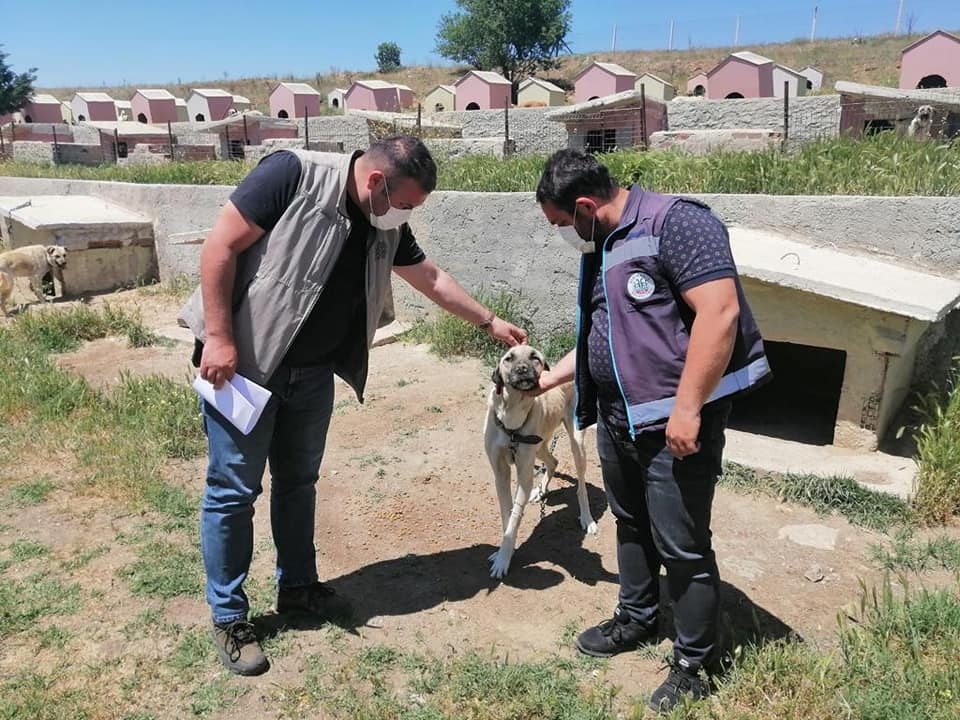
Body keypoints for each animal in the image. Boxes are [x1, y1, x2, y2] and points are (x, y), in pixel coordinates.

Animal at [484, 344, 596, 580]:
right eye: (509, 358)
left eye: (534, 357)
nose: (523, 369)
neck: (511, 415)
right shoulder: (501, 473)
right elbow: (507, 515)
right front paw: (504, 552)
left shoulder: (524, 475)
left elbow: (515, 517)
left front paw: (503, 559)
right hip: (540, 446)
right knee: (553, 461)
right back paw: (540, 491)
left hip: (576, 444)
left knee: (581, 487)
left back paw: (587, 518)